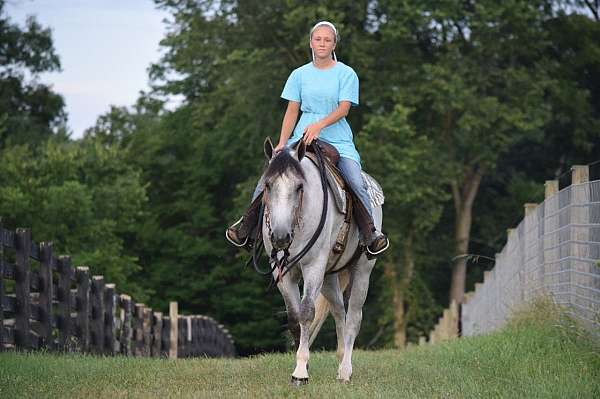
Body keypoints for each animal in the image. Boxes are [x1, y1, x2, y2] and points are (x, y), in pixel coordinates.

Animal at [262, 138, 382, 384]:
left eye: (300, 187)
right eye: (267, 186)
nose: (280, 236)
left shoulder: (313, 266)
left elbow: (307, 311)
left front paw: (300, 372)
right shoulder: (282, 272)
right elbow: (294, 316)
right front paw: (302, 364)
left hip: (362, 271)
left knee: (354, 316)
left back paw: (345, 371)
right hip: (328, 277)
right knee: (338, 311)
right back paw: (340, 358)